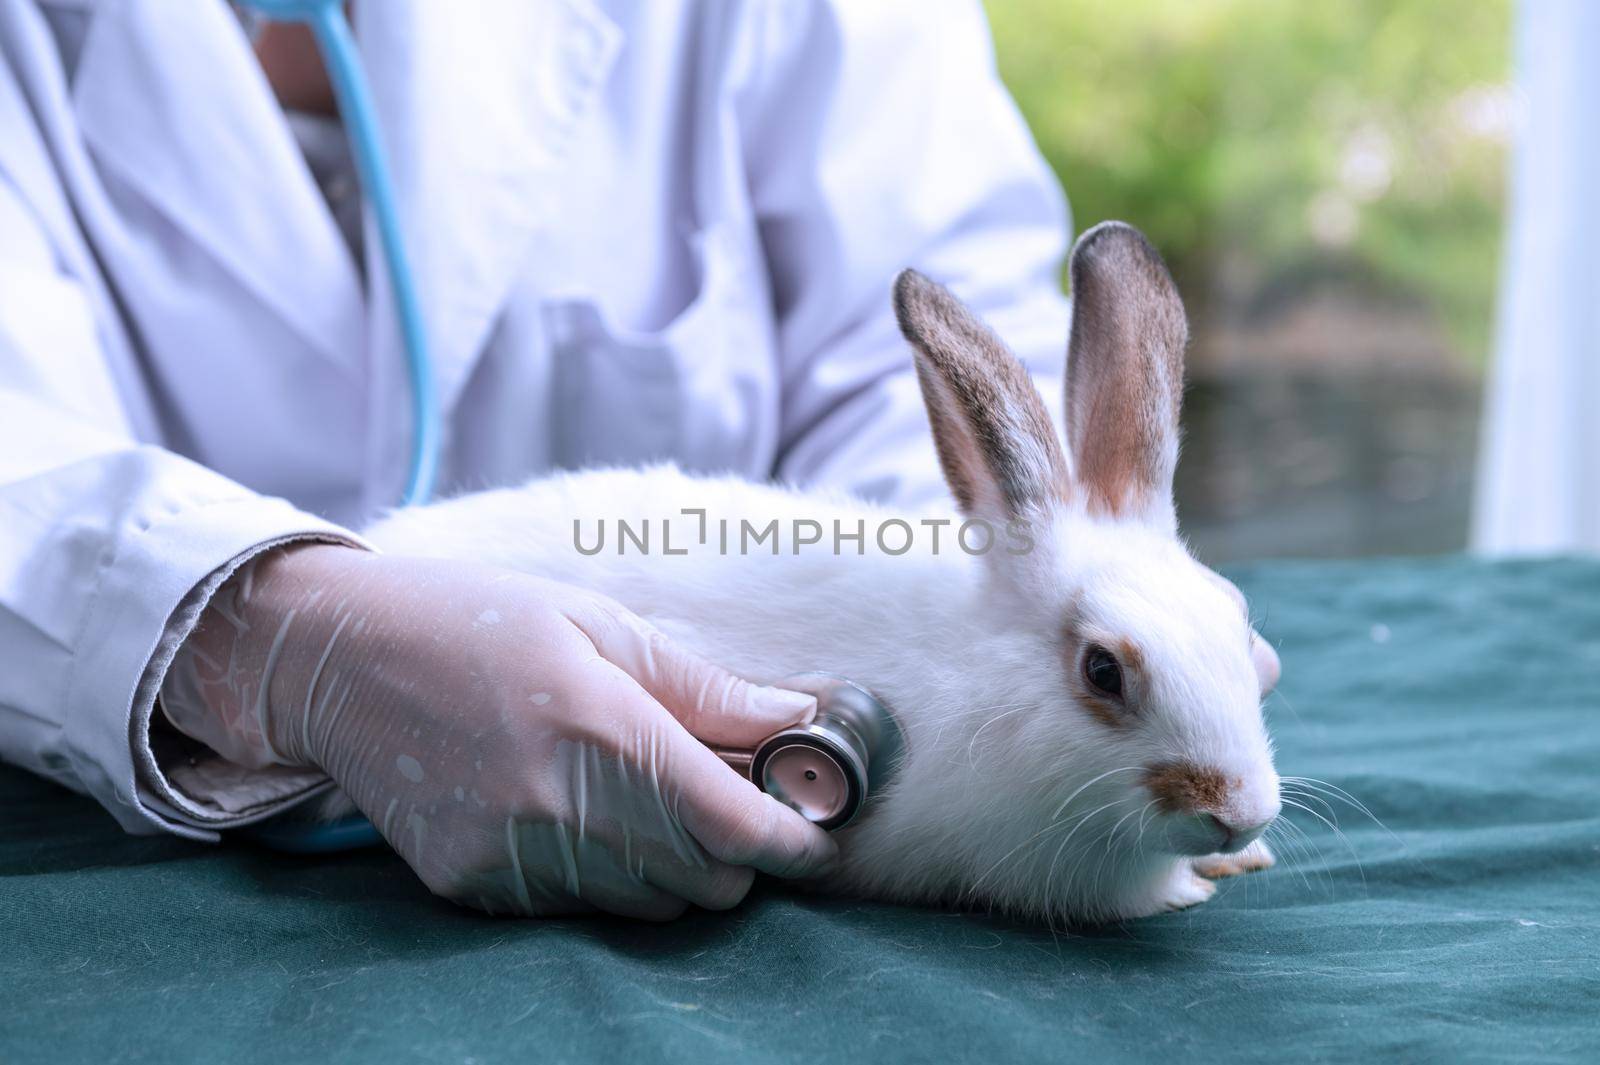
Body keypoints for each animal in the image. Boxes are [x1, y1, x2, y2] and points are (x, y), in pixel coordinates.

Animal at [347, 219, 1273, 914]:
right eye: (1103, 670)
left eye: (1240, 623)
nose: (1238, 812)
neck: (982, 672)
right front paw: (1198, 881)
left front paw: (1232, 865)